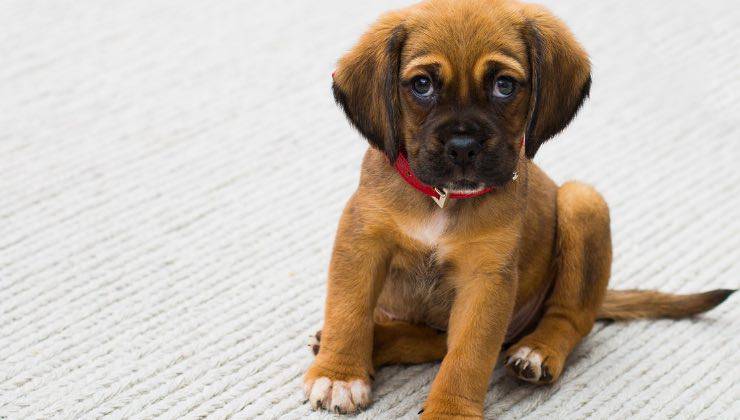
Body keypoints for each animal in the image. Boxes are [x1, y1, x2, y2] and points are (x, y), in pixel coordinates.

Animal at [302, 0, 736, 416]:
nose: (463, 147)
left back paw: (539, 350)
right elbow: (348, 312)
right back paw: (373, 341)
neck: (442, 200)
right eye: (422, 85)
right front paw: (339, 374)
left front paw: (449, 412)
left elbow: (468, 358)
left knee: (571, 318)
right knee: (430, 341)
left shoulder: (486, 280)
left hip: (583, 202)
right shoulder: (361, 243)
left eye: (504, 85)